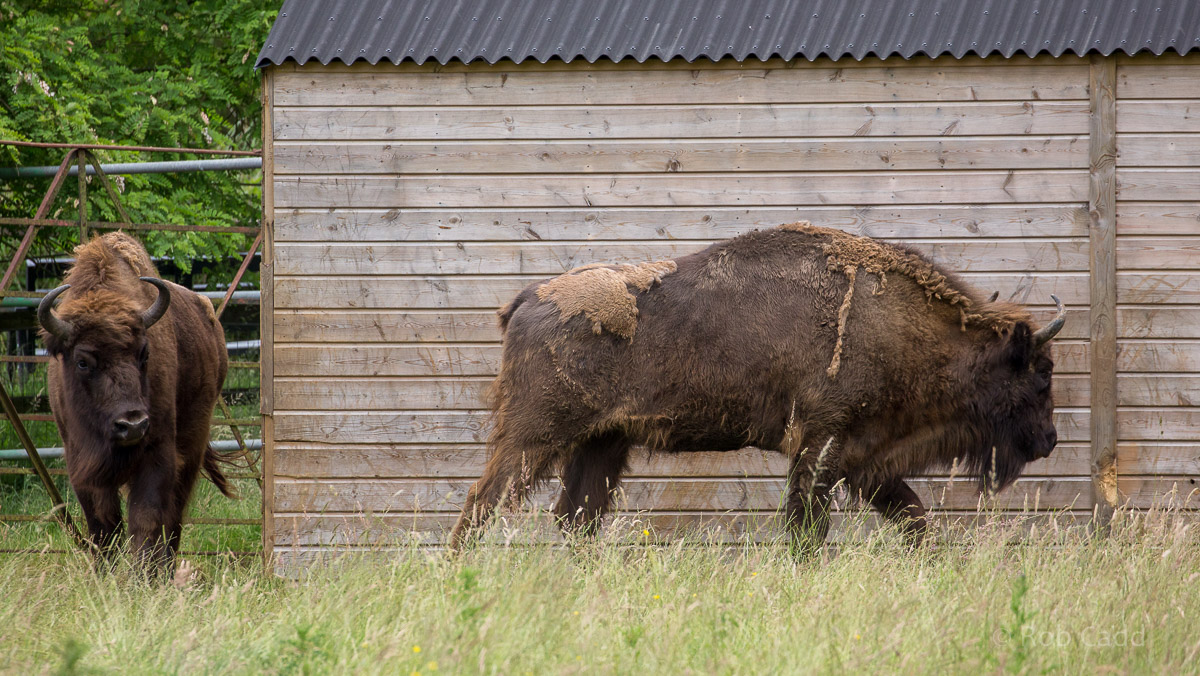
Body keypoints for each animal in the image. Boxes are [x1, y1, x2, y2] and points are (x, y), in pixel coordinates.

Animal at [38, 232, 233, 574]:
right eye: (82, 362)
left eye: (145, 353)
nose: (132, 425)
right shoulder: (82, 463)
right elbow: (103, 524)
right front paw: (105, 574)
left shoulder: (156, 456)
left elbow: (146, 519)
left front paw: (143, 576)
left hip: (192, 443)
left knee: (175, 516)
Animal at [451, 222, 1065, 550]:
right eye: (1040, 373)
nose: (1050, 440)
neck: (891, 321)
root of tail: (527, 299)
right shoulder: (823, 448)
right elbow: (807, 530)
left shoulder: (865, 462)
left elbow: (915, 521)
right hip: (533, 439)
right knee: (482, 503)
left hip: (603, 443)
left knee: (577, 518)